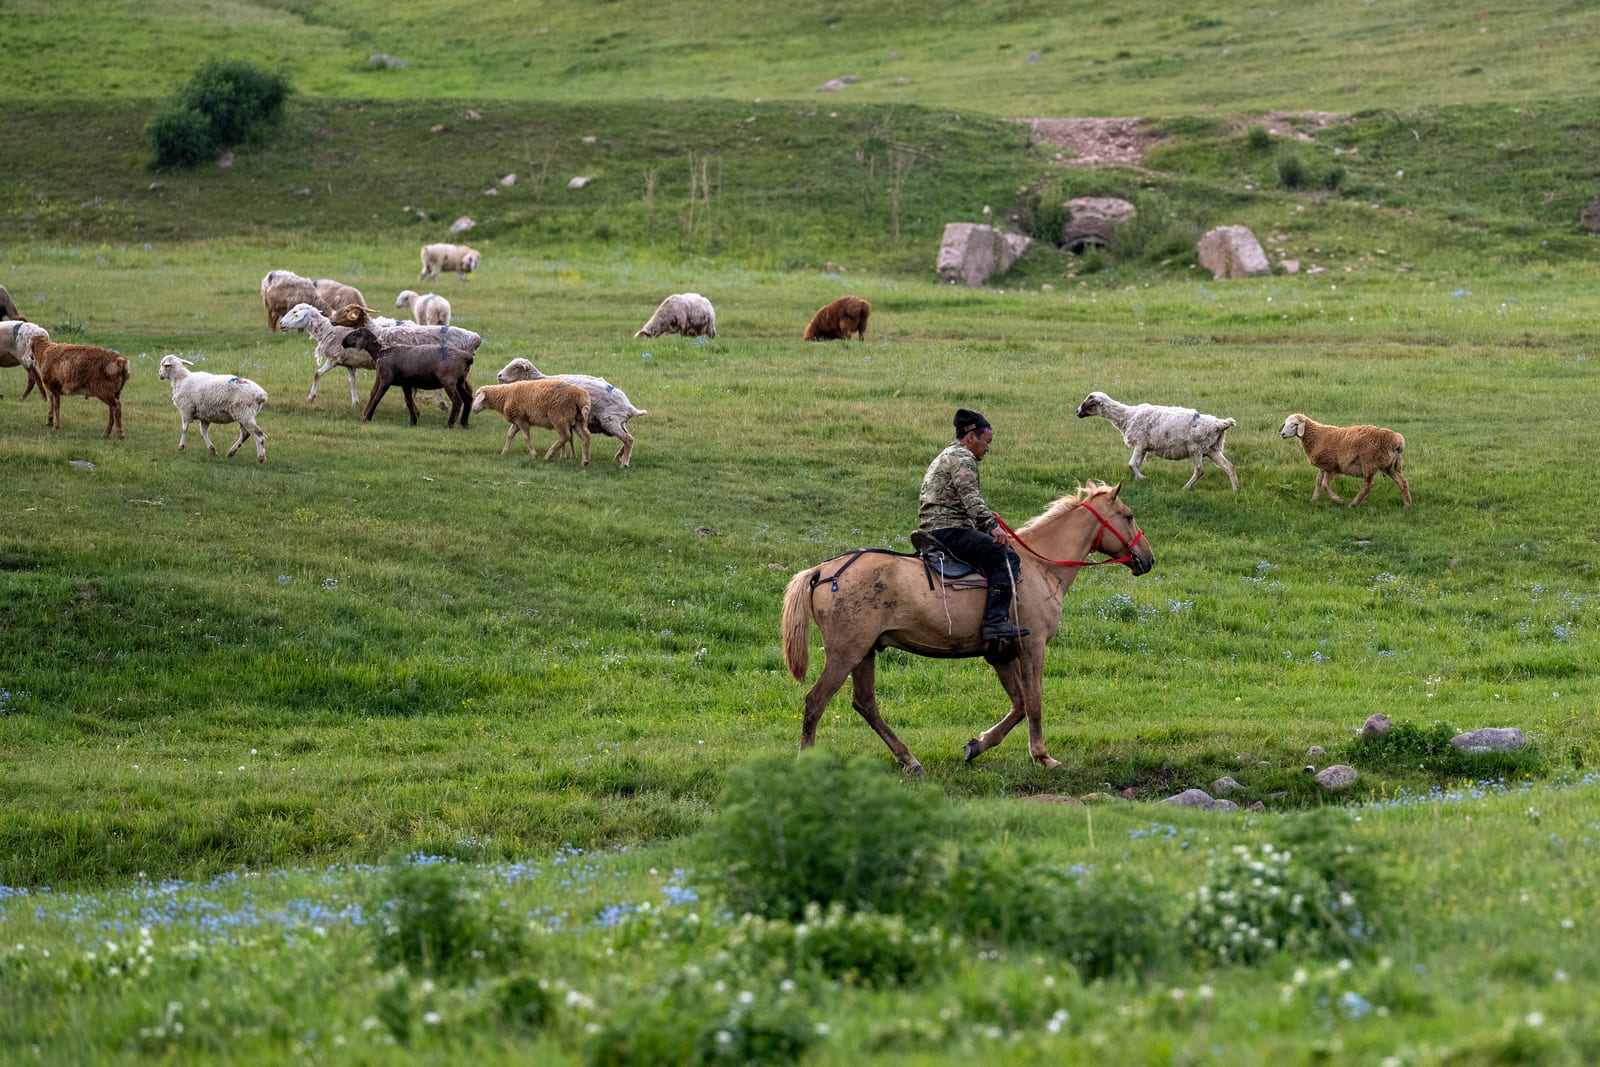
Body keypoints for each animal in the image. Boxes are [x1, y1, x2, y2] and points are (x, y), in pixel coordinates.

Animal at [341, 326, 474, 428]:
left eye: (355, 334)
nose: (342, 342)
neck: (380, 352)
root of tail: (467, 358)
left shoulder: (386, 379)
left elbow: (377, 399)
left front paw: (367, 418)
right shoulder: (406, 383)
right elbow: (409, 401)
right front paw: (413, 421)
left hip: (449, 381)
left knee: (457, 401)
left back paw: (449, 424)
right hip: (460, 381)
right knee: (468, 399)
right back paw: (464, 423)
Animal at [495, 357, 647, 468]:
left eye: (515, 367)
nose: (499, 375)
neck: (536, 381)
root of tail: (629, 406)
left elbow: (566, 437)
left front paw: (565, 456)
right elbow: (511, 433)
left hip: (610, 420)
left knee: (628, 439)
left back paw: (624, 463)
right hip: (617, 421)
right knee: (628, 438)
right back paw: (620, 456)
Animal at [1076, 390, 1239, 492]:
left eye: (1089, 402)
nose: (1077, 412)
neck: (1127, 416)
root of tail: (1220, 424)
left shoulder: (1140, 443)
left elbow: (1131, 464)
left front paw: (1143, 478)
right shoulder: (1143, 447)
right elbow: (1137, 464)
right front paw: (1138, 481)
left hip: (1196, 448)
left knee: (1200, 470)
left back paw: (1186, 488)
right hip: (1212, 449)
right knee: (1229, 466)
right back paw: (1236, 490)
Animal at [1278, 413, 1411, 507]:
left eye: (1295, 424)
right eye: (1286, 423)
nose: (1282, 434)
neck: (1316, 436)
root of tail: (1397, 441)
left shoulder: (1331, 465)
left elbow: (1325, 484)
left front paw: (1338, 500)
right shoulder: (1323, 465)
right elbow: (1318, 481)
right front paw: (1314, 499)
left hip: (1369, 462)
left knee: (1368, 485)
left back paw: (1353, 504)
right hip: (1389, 465)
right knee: (1402, 482)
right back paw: (1407, 505)